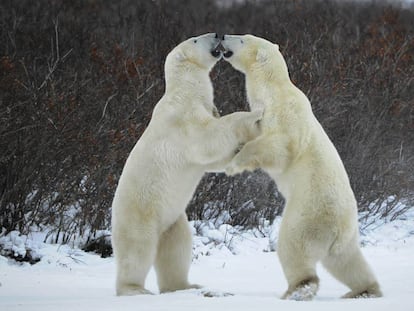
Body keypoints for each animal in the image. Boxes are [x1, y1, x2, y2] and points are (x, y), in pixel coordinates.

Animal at [111, 33, 262, 298]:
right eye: (195, 40)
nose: (218, 34)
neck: (186, 92)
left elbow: (214, 159)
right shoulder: (182, 119)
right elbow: (210, 137)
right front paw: (252, 117)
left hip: (172, 219)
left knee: (177, 247)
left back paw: (185, 286)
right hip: (139, 213)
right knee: (137, 250)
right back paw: (134, 290)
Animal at [222, 34, 384, 302]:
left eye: (242, 39)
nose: (223, 36)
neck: (273, 88)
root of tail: (341, 227)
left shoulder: (285, 113)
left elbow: (280, 146)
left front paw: (234, 165)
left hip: (309, 213)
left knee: (294, 246)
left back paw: (298, 289)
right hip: (347, 236)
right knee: (346, 261)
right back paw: (364, 290)